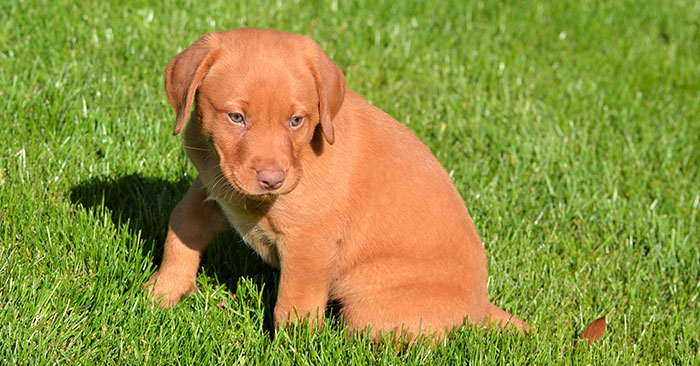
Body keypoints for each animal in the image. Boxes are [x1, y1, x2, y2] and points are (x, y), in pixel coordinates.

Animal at [149, 27, 532, 338]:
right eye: (236, 117)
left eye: (296, 120)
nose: (272, 180)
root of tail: (480, 306)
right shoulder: (216, 185)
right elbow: (182, 224)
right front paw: (162, 291)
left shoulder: (309, 241)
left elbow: (294, 304)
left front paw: (293, 347)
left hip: (370, 309)